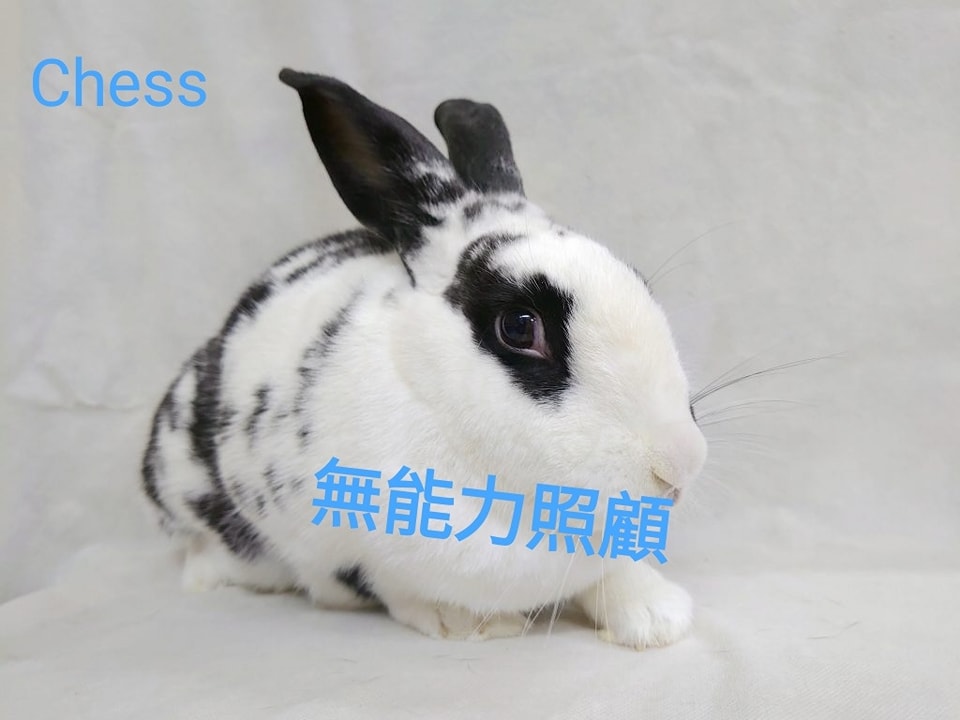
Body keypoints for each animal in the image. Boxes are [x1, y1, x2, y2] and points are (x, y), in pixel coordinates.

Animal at [140, 68, 708, 650]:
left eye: (638, 281)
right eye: (519, 327)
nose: (680, 465)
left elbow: (611, 574)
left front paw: (656, 618)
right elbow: (392, 588)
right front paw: (472, 624)